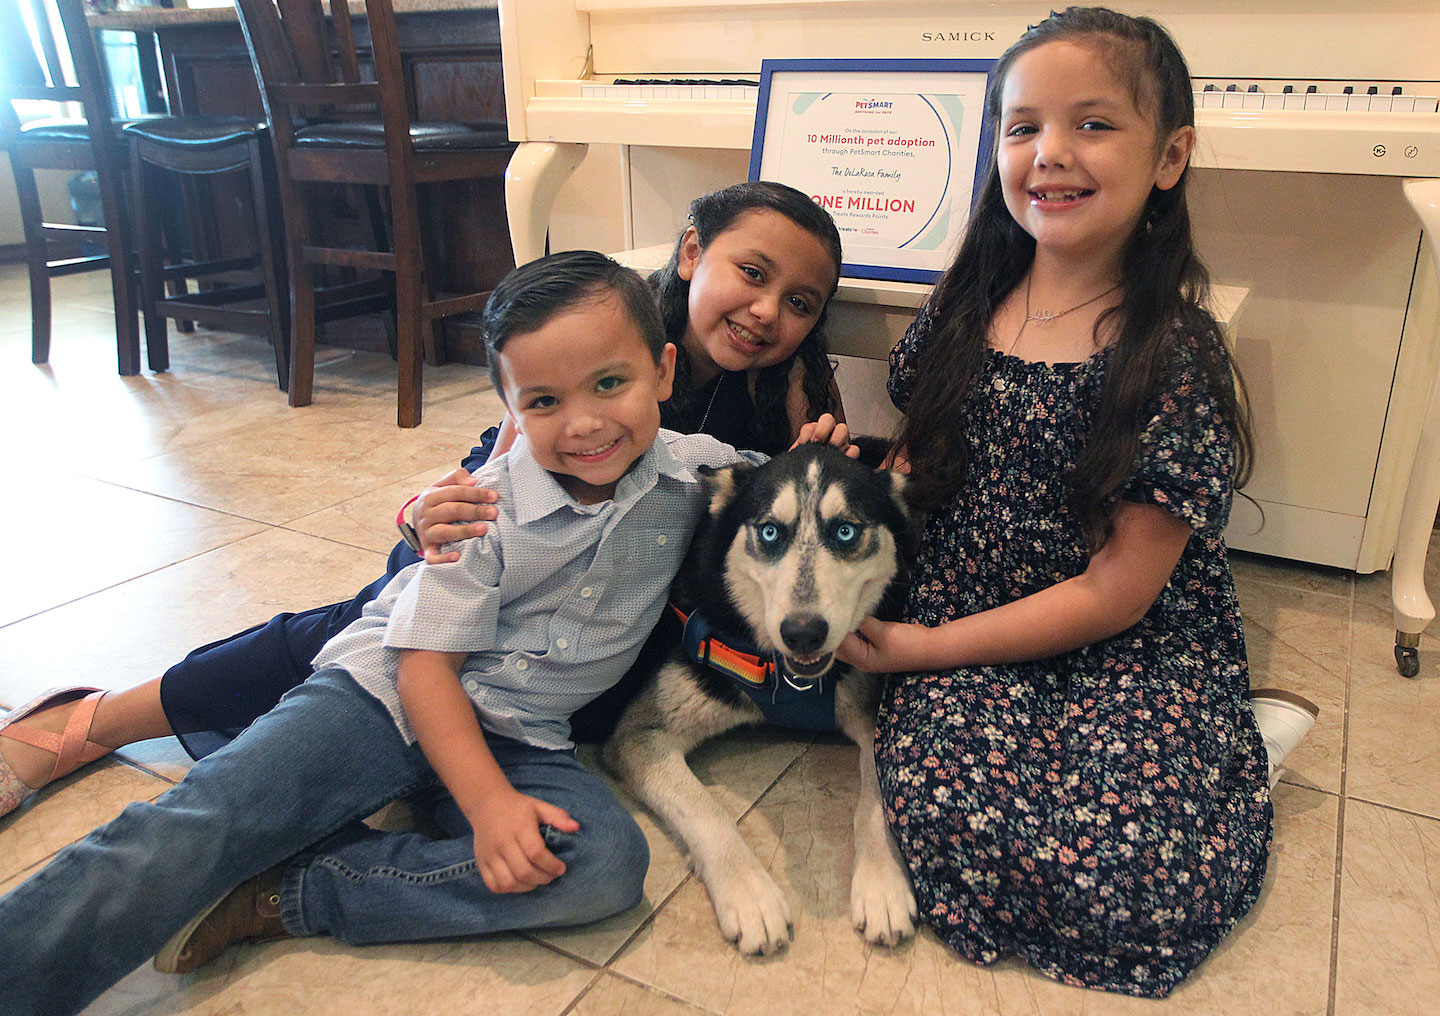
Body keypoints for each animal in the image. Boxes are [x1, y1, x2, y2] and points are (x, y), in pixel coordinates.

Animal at [601, 443, 915, 949]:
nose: (803, 633)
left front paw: (882, 884)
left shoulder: (871, 711)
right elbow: (707, 810)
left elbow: (874, 798)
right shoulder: (639, 734)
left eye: (845, 531)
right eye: (770, 532)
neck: (792, 684)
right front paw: (750, 894)